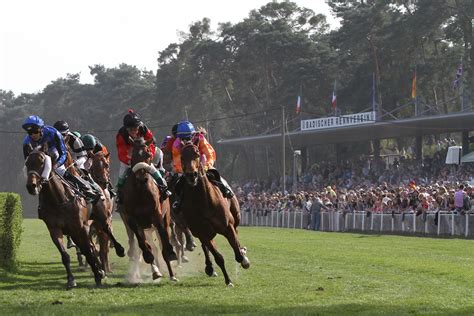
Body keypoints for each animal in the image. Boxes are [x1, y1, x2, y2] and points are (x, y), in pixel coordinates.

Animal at [24, 145, 104, 288]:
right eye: (27, 163)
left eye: (42, 162)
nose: (31, 186)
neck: (58, 201)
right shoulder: (55, 229)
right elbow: (65, 255)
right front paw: (71, 280)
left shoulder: (81, 228)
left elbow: (88, 251)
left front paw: (97, 277)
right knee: (89, 247)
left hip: (98, 220)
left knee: (96, 242)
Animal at [121, 138, 179, 282]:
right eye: (133, 155)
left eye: (148, 154)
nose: (142, 178)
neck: (141, 192)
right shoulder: (133, 221)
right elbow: (144, 245)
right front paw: (151, 262)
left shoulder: (157, 217)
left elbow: (165, 243)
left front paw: (171, 254)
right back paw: (155, 271)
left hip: (165, 217)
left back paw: (171, 274)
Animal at [180, 143, 250, 286]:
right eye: (182, 156)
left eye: (197, 153)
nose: (192, 175)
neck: (204, 201)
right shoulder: (203, 233)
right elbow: (218, 257)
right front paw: (228, 281)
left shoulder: (228, 227)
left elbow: (238, 254)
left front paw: (244, 258)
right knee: (205, 247)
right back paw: (209, 267)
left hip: (235, 216)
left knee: (236, 234)